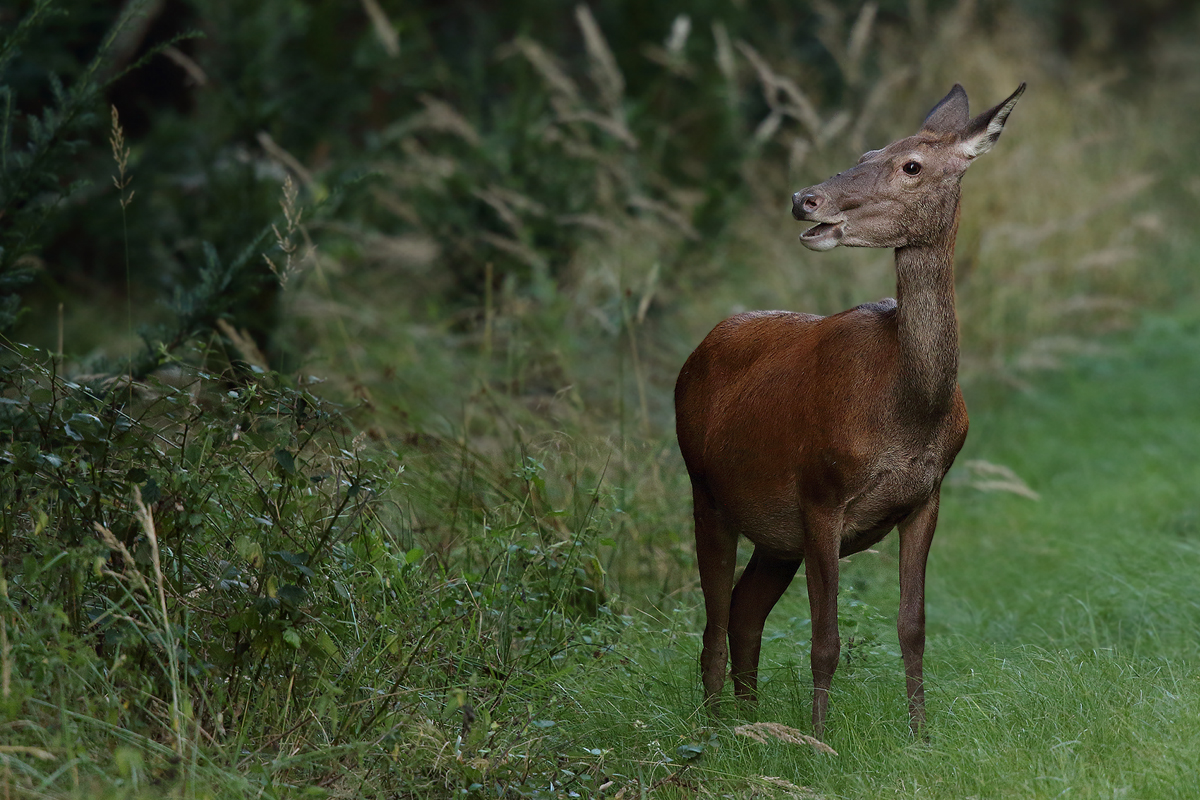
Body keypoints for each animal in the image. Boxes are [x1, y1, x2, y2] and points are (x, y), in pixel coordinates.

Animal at [676, 81, 1022, 738]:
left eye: (910, 165)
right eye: (866, 151)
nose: (804, 199)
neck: (909, 413)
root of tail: (694, 354)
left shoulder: (926, 497)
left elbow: (913, 628)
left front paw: (919, 735)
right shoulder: (820, 491)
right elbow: (825, 640)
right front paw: (820, 739)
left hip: (773, 536)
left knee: (743, 613)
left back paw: (750, 721)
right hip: (705, 488)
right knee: (712, 621)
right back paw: (712, 729)